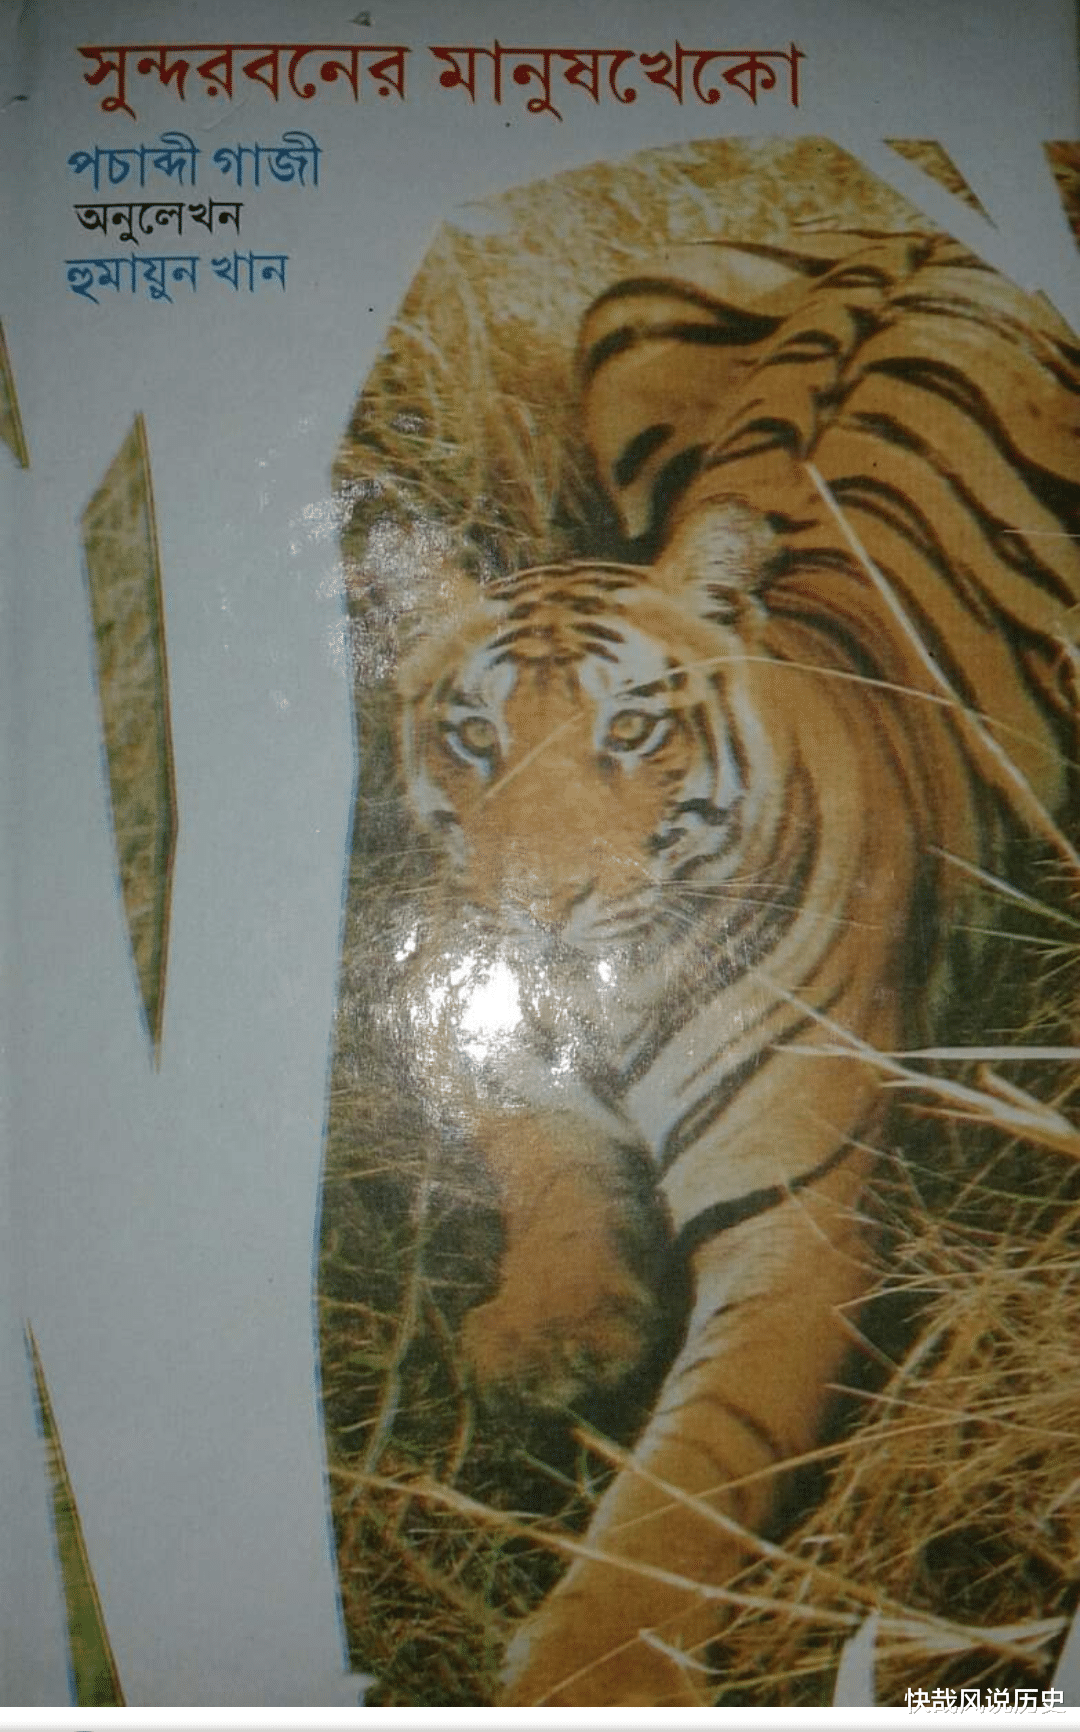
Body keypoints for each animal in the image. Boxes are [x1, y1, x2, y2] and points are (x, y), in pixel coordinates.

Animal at [390, 229, 1080, 1705]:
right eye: (473, 735)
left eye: (632, 730)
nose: (536, 905)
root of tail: (907, 236)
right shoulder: (491, 1048)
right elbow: (543, 1168)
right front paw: (554, 1329)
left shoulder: (796, 1229)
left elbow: (682, 1489)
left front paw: (585, 1672)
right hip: (621, 324)